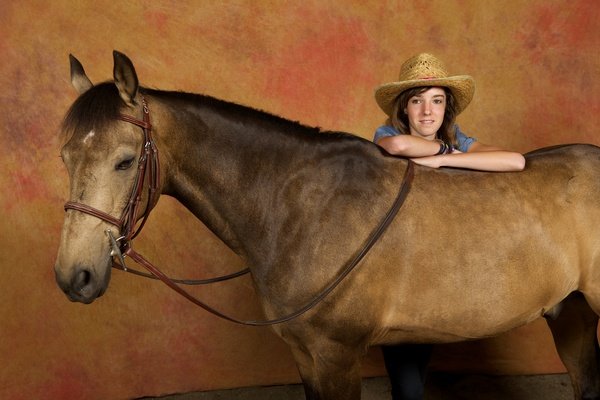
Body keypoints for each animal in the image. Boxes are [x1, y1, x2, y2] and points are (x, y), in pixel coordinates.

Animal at [55, 51, 600, 398]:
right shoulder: (304, 355)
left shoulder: (337, 355)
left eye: (125, 161)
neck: (297, 206)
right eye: (65, 157)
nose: (73, 276)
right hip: (570, 313)